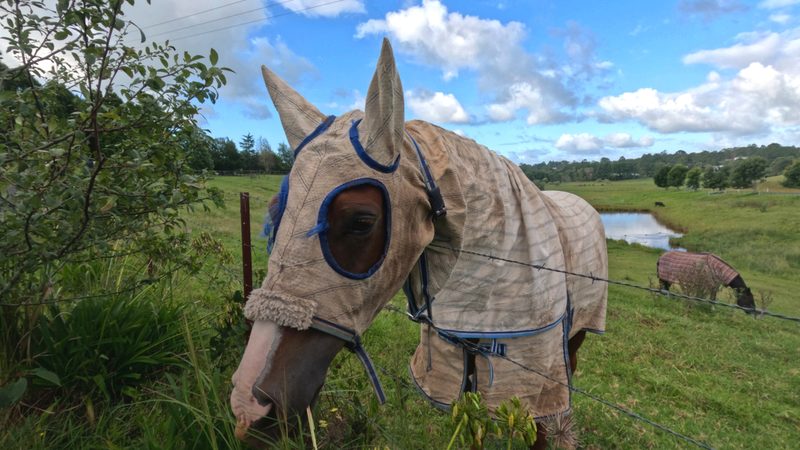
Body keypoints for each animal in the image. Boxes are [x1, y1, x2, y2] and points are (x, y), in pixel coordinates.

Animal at [230, 39, 608, 449]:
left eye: (361, 221)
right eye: (275, 213)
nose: (249, 405)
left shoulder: (536, 379)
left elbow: (540, 425)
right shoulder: (458, 366)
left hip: (576, 337)